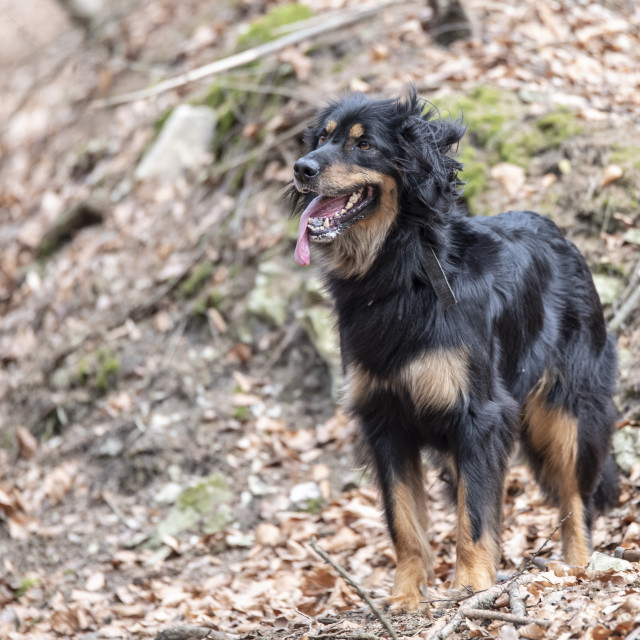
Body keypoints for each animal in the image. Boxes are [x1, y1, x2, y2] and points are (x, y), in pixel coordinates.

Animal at [288, 87, 616, 612]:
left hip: (568, 409)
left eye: (364, 145)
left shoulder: (480, 416)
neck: (401, 273)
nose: (302, 168)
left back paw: (579, 567)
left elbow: (475, 514)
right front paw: (406, 596)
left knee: (575, 500)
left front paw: (471, 586)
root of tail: (561, 234)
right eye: (322, 138)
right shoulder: (385, 419)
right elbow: (404, 520)